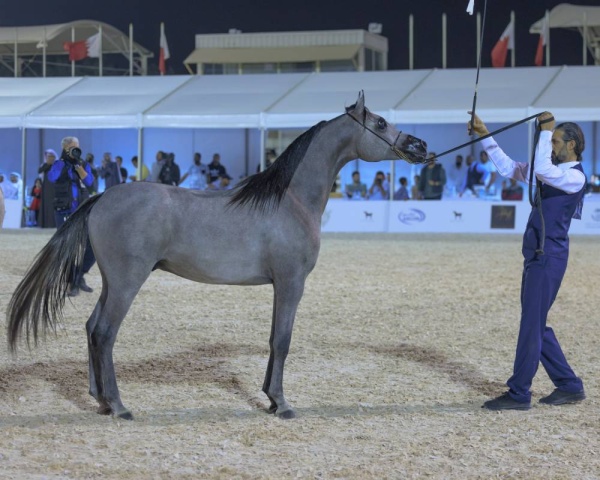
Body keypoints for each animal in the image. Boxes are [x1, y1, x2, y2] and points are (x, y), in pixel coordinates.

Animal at [5, 91, 426, 420]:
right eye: (382, 122)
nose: (420, 146)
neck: (289, 200)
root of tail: (102, 196)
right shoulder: (291, 283)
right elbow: (283, 340)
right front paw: (282, 404)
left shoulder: (280, 286)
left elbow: (273, 338)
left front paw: (270, 399)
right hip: (127, 282)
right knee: (105, 333)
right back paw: (120, 406)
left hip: (111, 281)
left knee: (92, 328)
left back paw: (101, 400)